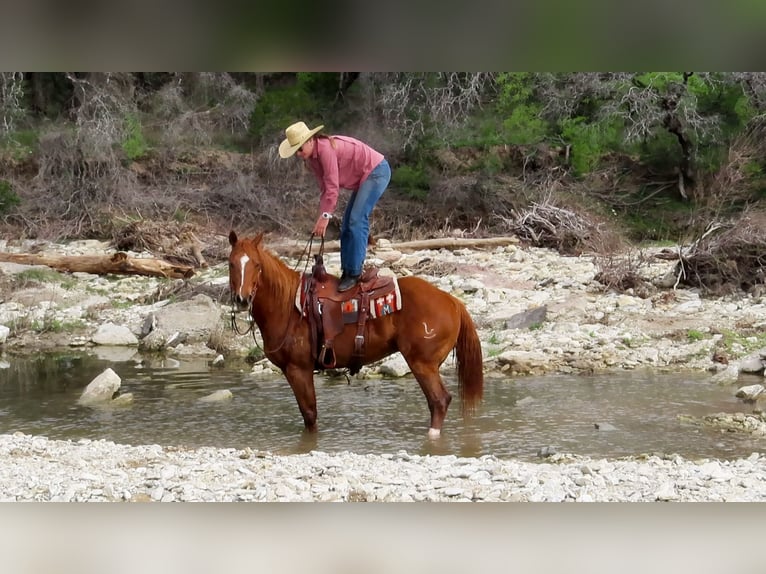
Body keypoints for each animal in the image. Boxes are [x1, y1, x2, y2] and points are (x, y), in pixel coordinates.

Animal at [226, 232, 486, 438]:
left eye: (257, 265)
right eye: (231, 264)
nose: (242, 299)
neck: (288, 305)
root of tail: (452, 301)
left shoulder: (298, 369)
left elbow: (309, 414)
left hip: (423, 363)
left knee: (439, 400)